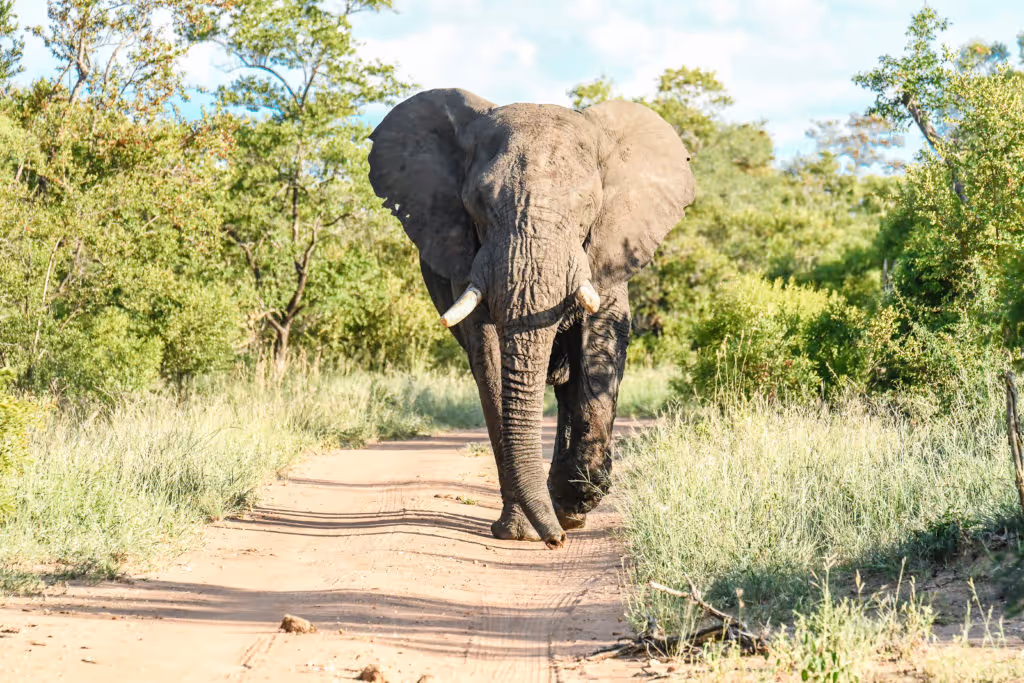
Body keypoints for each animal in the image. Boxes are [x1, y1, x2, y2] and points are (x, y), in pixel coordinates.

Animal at [367, 89, 695, 548]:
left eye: (587, 206)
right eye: (479, 203)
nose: (556, 543)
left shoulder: (608, 245)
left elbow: (602, 338)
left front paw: (575, 503)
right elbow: (488, 356)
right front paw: (524, 530)